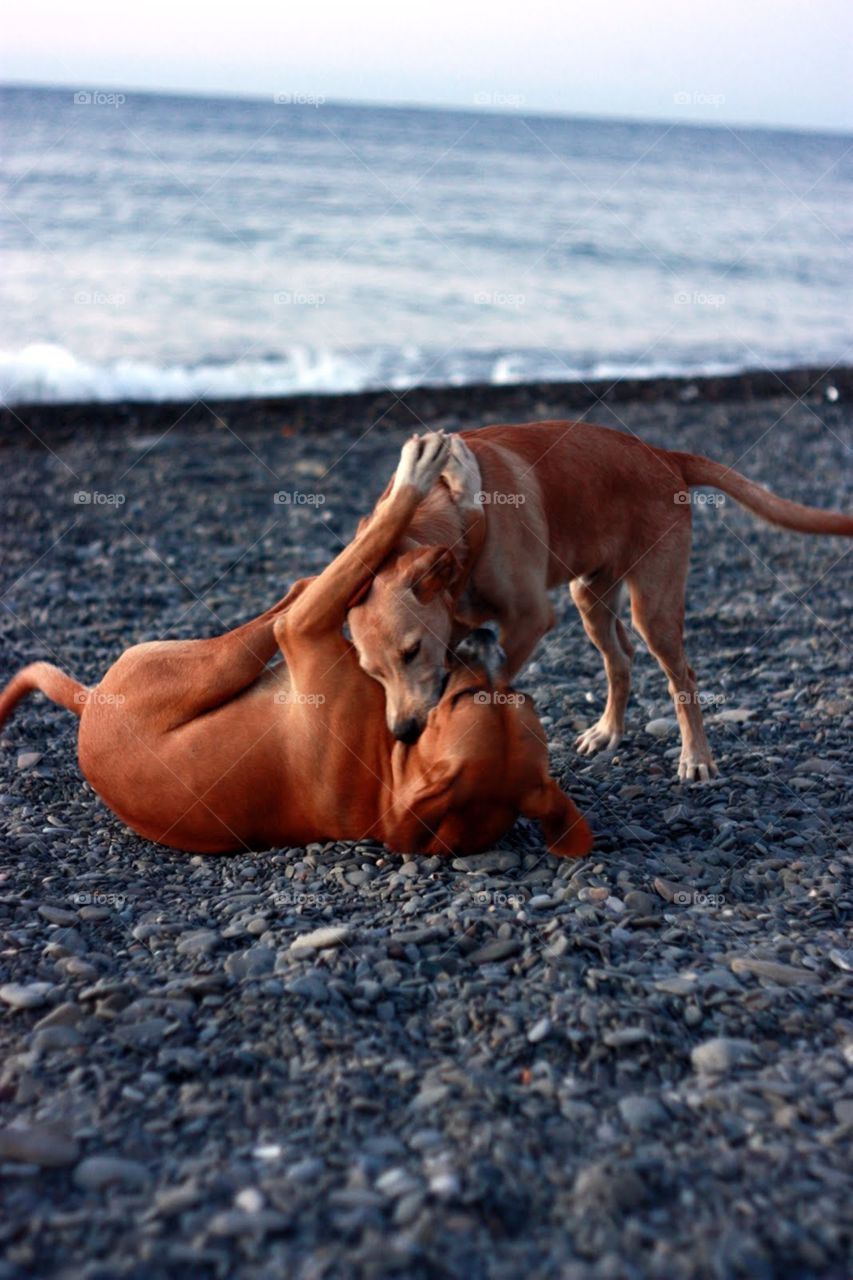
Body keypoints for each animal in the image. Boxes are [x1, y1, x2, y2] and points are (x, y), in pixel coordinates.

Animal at [0, 432, 591, 860]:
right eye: (518, 700)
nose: (486, 650)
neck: (388, 775)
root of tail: (88, 705)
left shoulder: (302, 632)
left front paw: (434, 485)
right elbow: (448, 540)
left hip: (217, 661)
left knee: (299, 592)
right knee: (313, 580)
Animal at [348, 419, 850, 778]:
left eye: (412, 651)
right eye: (371, 672)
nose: (404, 731)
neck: (445, 506)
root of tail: (663, 455)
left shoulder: (530, 619)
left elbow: (486, 679)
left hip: (653, 608)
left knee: (682, 677)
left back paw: (696, 758)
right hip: (589, 595)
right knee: (620, 660)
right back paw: (608, 731)